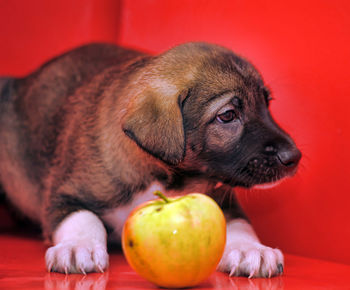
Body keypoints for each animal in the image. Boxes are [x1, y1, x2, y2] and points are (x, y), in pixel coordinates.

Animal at [0, 42, 300, 276]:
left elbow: (239, 224)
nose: (294, 157)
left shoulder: (224, 198)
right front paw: (77, 247)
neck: (166, 179)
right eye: (227, 115)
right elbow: (83, 218)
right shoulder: (63, 195)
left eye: (266, 104)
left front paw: (252, 250)